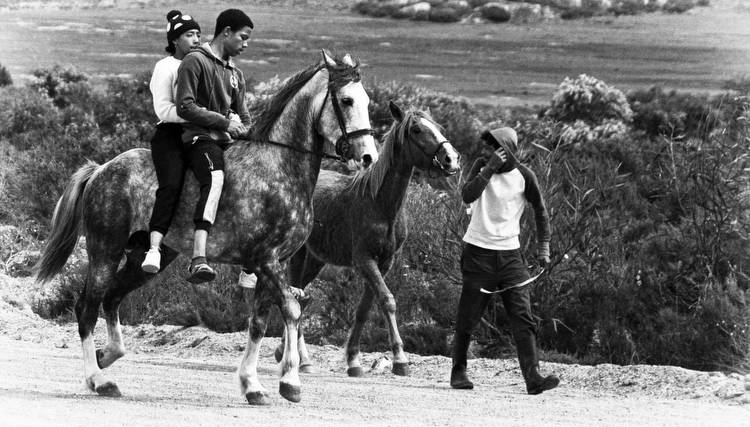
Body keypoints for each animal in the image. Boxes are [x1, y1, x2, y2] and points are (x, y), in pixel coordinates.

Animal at [33, 51, 382, 406]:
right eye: (346, 100)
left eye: (367, 100)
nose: (369, 156)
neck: (279, 168)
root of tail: (101, 169)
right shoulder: (266, 261)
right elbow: (293, 310)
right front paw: (290, 382)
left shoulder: (271, 266)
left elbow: (258, 324)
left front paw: (252, 385)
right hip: (105, 250)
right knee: (87, 309)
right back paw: (99, 380)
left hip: (145, 258)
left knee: (112, 299)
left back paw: (106, 356)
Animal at [280, 103, 462, 378]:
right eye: (416, 130)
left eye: (437, 127)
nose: (451, 159)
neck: (379, 204)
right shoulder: (364, 261)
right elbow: (388, 301)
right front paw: (400, 359)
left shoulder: (383, 263)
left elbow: (364, 309)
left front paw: (353, 360)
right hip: (299, 256)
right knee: (296, 295)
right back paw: (298, 357)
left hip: (315, 260)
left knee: (300, 296)